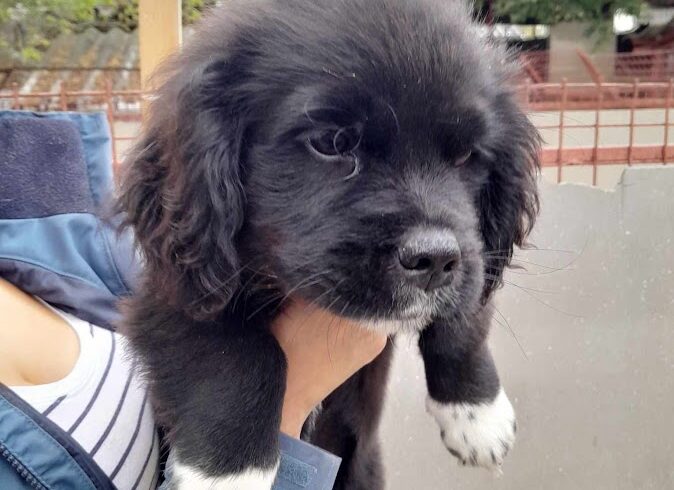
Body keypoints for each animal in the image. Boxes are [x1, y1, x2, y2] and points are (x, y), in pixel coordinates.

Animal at [117, 0, 540, 488]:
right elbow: (240, 354)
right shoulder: (176, 290)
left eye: (468, 156)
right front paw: (231, 472)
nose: (434, 259)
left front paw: (477, 414)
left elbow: (464, 320)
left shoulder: (476, 253)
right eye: (330, 142)